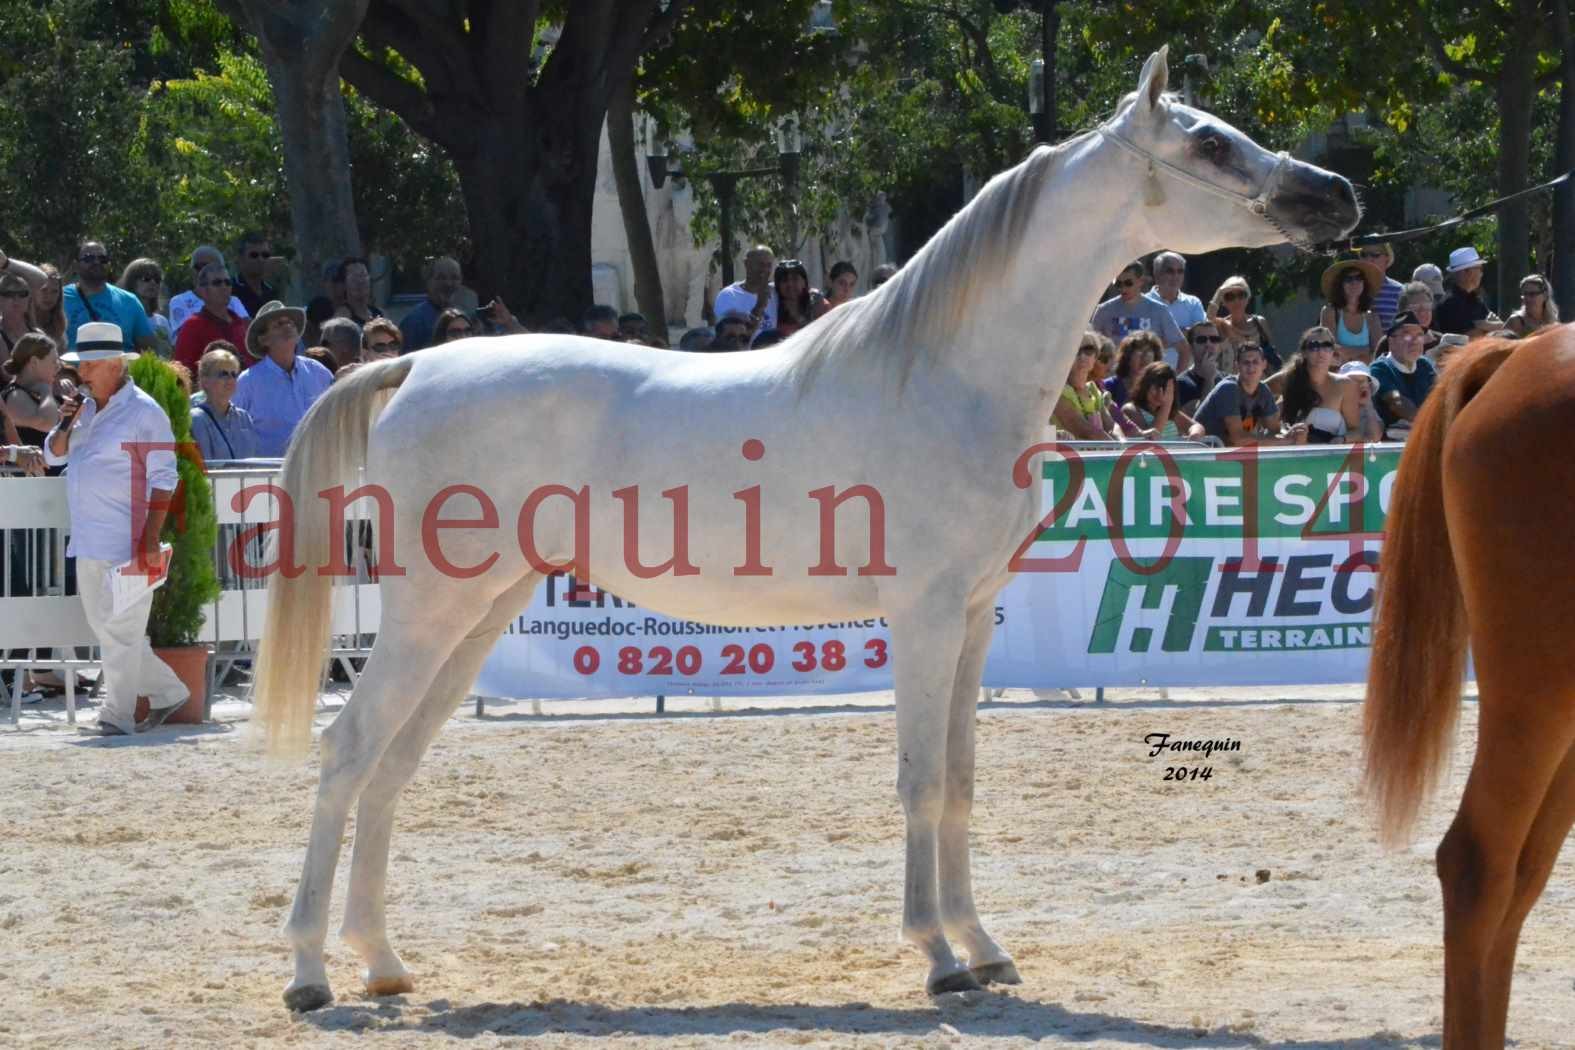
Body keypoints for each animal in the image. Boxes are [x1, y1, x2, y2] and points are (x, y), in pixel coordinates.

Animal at [255, 49, 1354, 1007]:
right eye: (1208, 144)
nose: (1336, 193)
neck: (944, 376)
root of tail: (411, 368)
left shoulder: (972, 620)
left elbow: (960, 780)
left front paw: (983, 945)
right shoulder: (921, 619)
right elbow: (919, 781)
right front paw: (937, 958)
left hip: (478, 616)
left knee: (390, 768)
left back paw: (382, 963)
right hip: (427, 616)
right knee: (347, 754)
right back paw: (309, 974)